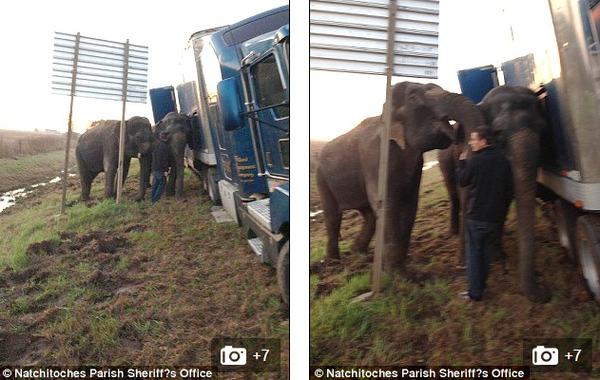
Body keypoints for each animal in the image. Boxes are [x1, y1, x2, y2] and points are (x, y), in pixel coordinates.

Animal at [316, 81, 486, 274]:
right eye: (413, 98)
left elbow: (410, 204)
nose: (461, 266)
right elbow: (386, 203)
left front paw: (399, 267)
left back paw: (357, 253)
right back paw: (334, 263)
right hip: (321, 178)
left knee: (369, 215)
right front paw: (398, 275)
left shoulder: (415, 165)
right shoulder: (375, 160)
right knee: (333, 218)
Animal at [436, 86, 548, 302]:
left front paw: (499, 257)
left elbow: (501, 203)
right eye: (498, 132)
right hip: (443, 161)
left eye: (543, 128)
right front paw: (462, 263)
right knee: (454, 196)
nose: (545, 291)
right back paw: (452, 232)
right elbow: (467, 198)